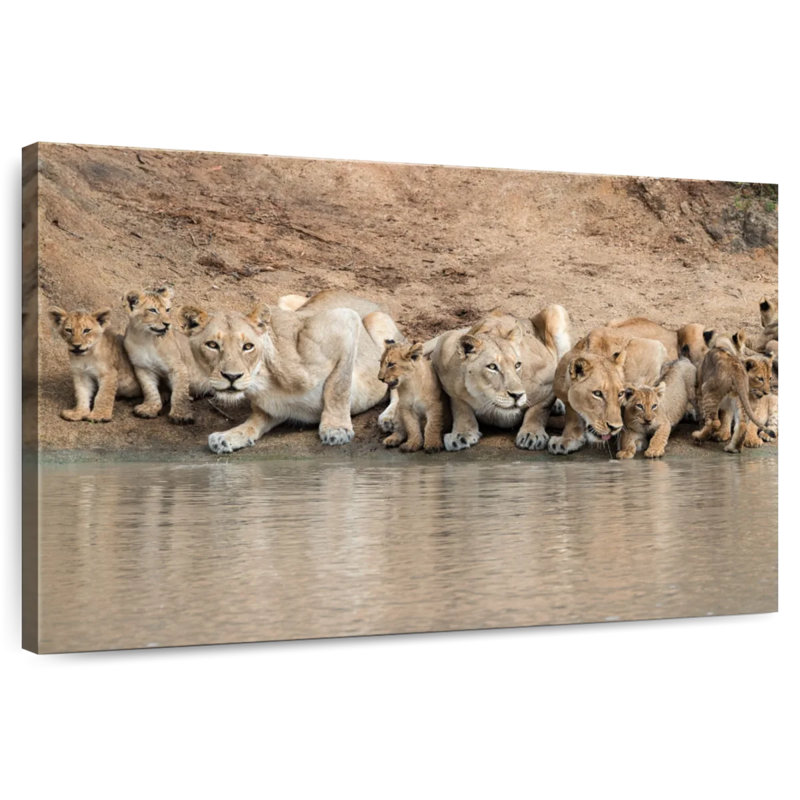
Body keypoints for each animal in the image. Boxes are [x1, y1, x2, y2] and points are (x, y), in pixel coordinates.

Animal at [123, 287, 204, 424]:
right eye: (152, 310)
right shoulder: (142, 367)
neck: (147, 339)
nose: (167, 324)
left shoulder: (178, 366)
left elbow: (180, 392)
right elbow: (149, 390)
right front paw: (149, 408)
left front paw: (180, 414)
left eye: (167, 309)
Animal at [179, 289, 404, 453]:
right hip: (285, 299)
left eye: (248, 346)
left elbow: (338, 386)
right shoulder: (275, 407)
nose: (232, 377)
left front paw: (336, 429)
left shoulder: (344, 320)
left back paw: (390, 418)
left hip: (378, 323)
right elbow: (253, 422)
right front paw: (228, 436)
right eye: (212, 345)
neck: (264, 380)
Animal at [430, 305, 570, 452]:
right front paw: (462, 433)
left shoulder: (548, 376)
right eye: (492, 367)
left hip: (556, 310)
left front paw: (532, 434)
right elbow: (460, 407)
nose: (517, 395)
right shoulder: (444, 360)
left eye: (517, 365)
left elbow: (539, 410)